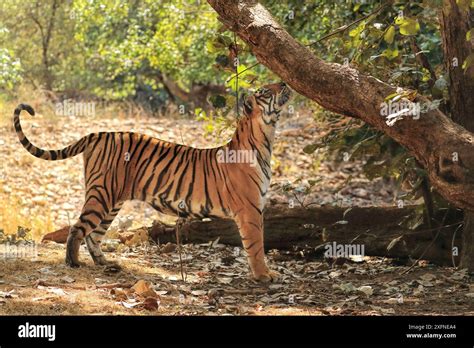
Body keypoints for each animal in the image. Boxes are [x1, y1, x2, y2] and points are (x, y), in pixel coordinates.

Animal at [12, 82, 290, 282]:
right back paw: (73, 263)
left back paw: (105, 263)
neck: (265, 138)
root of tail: (98, 133)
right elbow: (256, 245)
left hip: (113, 200)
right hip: (102, 194)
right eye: (266, 90)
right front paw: (264, 276)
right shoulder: (250, 210)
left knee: (95, 234)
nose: (285, 83)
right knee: (78, 228)